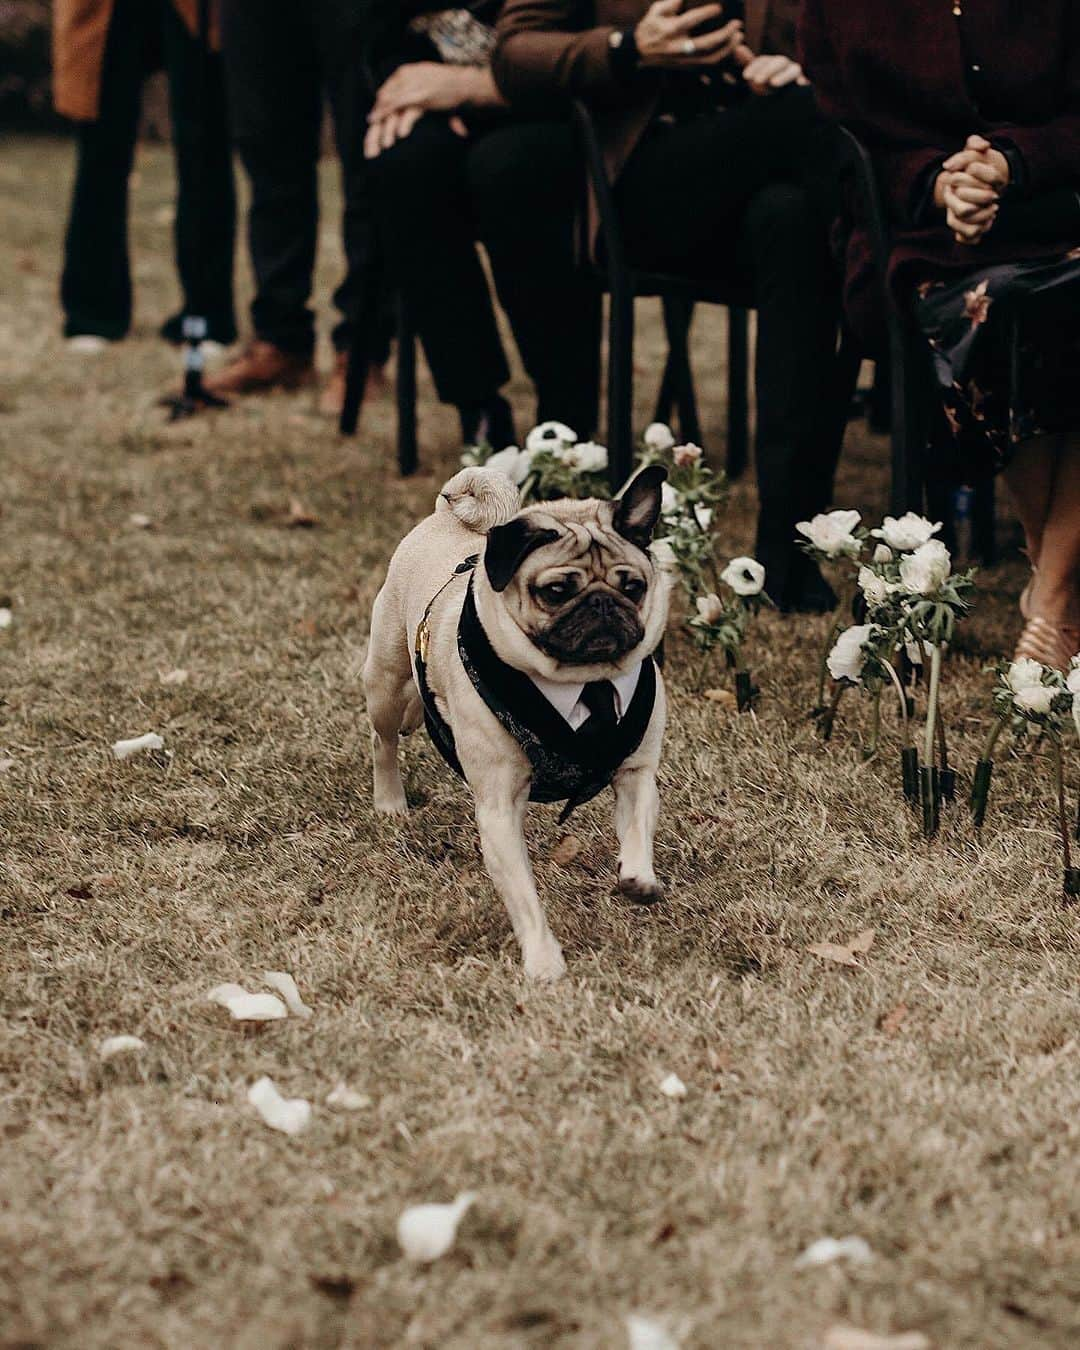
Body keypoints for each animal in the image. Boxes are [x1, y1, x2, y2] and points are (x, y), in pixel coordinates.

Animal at [367, 464, 669, 982]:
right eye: (556, 591)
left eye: (633, 587)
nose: (602, 603)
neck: (583, 682)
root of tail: (445, 515)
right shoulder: (500, 808)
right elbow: (525, 897)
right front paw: (544, 959)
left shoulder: (636, 775)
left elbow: (636, 831)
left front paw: (638, 877)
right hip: (384, 680)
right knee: (384, 740)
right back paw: (390, 801)